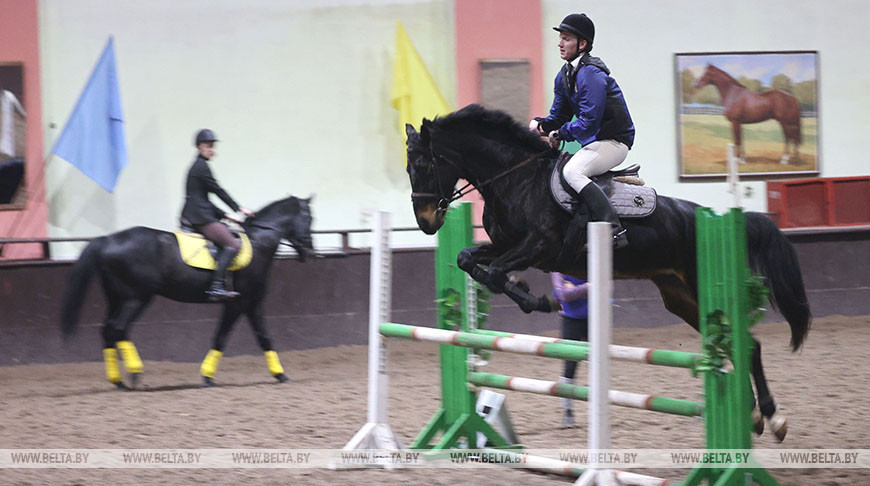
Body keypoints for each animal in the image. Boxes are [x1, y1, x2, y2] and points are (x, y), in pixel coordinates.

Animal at [59, 194, 316, 388]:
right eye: (309, 218)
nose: (310, 253)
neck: (257, 243)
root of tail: (108, 239)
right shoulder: (239, 303)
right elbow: (222, 337)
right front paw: (207, 376)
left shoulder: (253, 303)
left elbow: (264, 338)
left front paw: (280, 374)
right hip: (136, 297)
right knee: (118, 328)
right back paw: (134, 373)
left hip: (116, 297)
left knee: (108, 331)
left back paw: (117, 380)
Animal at [406, 104, 816, 442]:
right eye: (408, 169)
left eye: (424, 166)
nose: (426, 223)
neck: (516, 179)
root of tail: (710, 219)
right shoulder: (506, 245)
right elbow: (467, 260)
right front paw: (529, 294)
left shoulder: (537, 247)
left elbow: (493, 274)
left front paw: (538, 300)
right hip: (680, 296)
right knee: (737, 344)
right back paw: (753, 415)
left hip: (701, 287)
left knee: (749, 344)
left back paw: (772, 418)